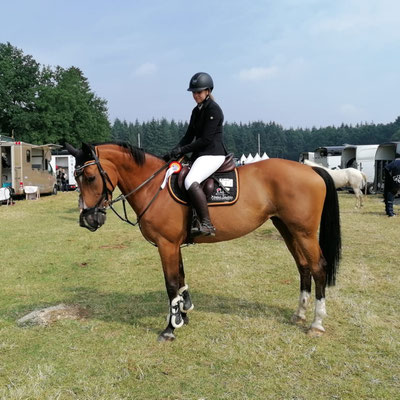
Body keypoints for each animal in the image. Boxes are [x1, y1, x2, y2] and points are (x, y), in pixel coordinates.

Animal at [65, 142, 340, 342]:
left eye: (90, 177)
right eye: (76, 178)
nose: (87, 219)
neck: (155, 187)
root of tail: (311, 169)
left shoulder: (166, 244)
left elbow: (171, 284)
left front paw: (170, 328)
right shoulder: (174, 245)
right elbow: (181, 279)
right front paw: (183, 315)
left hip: (303, 232)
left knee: (318, 268)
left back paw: (317, 323)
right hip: (287, 229)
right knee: (303, 267)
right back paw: (299, 314)